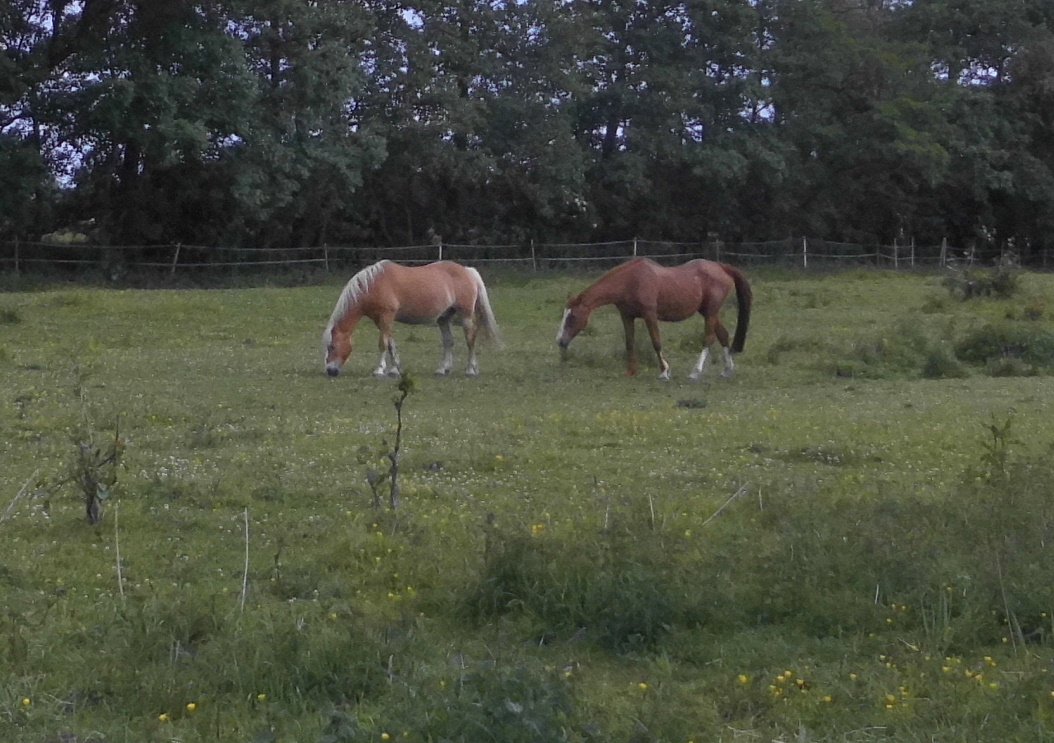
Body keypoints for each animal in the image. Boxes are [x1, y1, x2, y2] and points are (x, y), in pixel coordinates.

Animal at [323, 260, 501, 377]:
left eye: (332, 346)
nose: (331, 371)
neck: (372, 285)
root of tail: (467, 271)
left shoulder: (386, 316)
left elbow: (382, 343)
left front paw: (379, 370)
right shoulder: (380, 320)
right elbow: (390, 344)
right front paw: (394, 369)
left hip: (465, 316)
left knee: (470, 340)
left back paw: (470, 369)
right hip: (443, 319)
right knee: (448, 342)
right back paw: (443, 369)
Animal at [556, 257, 752, 381]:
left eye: (572, 316)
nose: (560, 341)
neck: (630, 281)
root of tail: (721, 267)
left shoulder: (649, 314)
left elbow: (656, 342)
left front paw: (665, 372)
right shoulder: (627, 316)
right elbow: (629, 342)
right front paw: (631, 371)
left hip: (710, 313)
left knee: (709, 339)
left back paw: (695, 372)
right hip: (708, 312)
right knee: (723, 335)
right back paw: (727, 370)